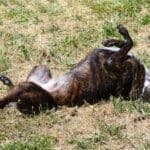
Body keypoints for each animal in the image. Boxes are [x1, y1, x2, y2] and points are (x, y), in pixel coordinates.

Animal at [0, 24, 146, 115]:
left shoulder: (113, 63)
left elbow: (129, 43)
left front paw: (121, 37)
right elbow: (125, 45)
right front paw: (113, 41)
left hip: (28, 89)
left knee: (12, 96)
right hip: (40, 69)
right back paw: (6, 81)